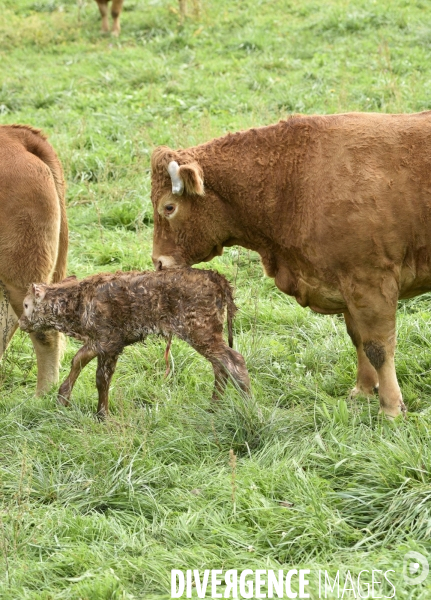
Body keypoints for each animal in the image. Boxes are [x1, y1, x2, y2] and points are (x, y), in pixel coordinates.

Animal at [18, 268, 251, 418]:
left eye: (26, 304)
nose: (21, 322)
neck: (78, 304)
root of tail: (219, 280)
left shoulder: (110, 342)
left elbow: (101, 379)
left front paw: (102, 415)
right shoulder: (98, 341)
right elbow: (78, 360)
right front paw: (62, 399)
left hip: (199, 330)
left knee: (234, 360)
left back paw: (249, 408)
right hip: (211, 332)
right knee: (220, 365)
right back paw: (214, 408)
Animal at [151, 111, 431, 418]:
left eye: (169, 207)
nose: (159, 262)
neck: (294, 180)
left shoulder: (371, 281)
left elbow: (378, 348)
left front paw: (391, 409)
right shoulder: (346, 285)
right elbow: (358, 338)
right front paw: (364, 391)